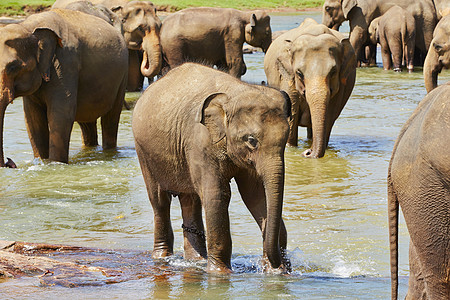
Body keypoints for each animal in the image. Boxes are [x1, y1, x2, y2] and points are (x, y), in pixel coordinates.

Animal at [0, 9, 128, 168]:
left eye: (13, 67)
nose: (8, 162)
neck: (28, 26)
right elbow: (32, 118)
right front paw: (42, 161)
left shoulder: (65, 63)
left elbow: (61, 113)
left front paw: (55, 165)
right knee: (86, 122)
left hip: (122, 77)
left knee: (111, 119)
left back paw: (109, 152)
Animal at [132, 63, 290, 274]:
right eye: (251, 140)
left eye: (286, 139)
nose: (276, 264)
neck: (236, 92)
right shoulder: (201, 143)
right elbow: (217, 194)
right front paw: (220, 274)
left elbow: (256, 195)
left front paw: (277, 272)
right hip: (144, 152)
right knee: (159, 201)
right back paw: (163, 258)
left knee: (190, 200)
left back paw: (196, 261)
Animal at [264, 18, 356, 159]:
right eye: (299, 73)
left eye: (333, 72)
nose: (307, 152)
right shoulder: (288, 78)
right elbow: (292, 114)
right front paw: (291, 148)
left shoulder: (340, 86)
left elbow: (330, 114)